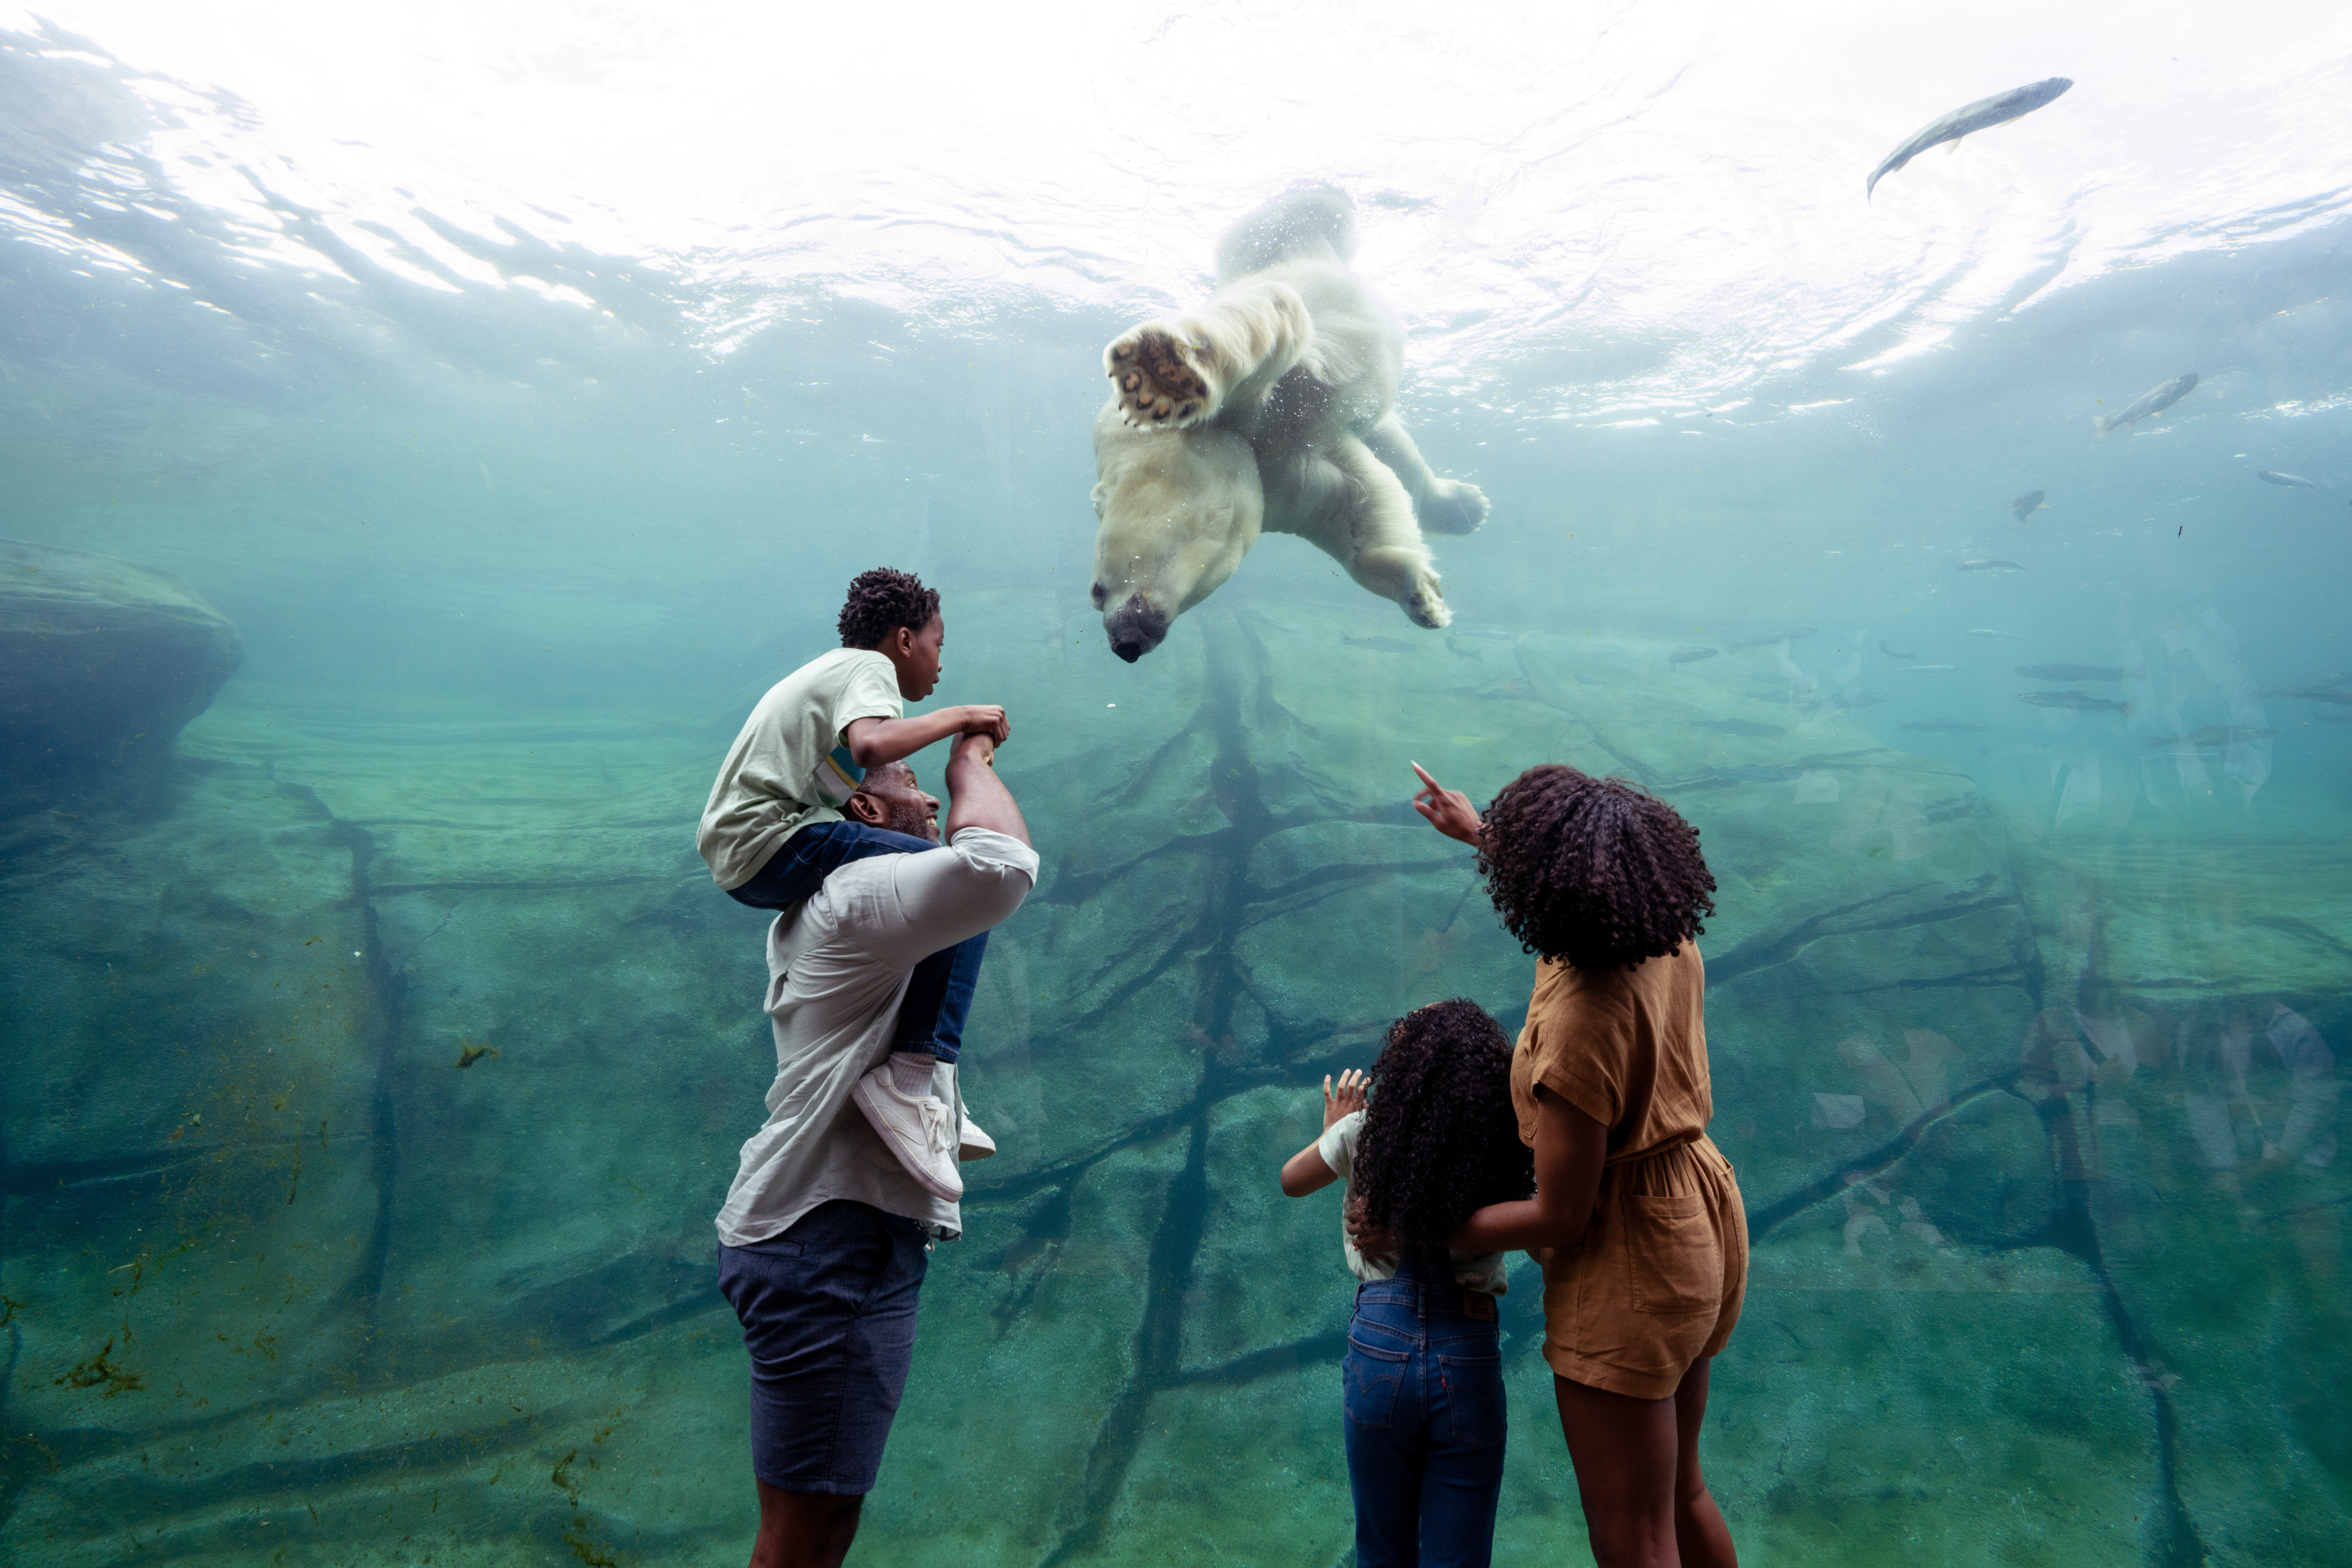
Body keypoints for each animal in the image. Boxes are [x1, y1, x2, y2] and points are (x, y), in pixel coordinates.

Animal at [1087, 187, 1488, 662]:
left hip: (1281, 246)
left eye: (1097, 590)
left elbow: (1267, 316)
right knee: (1392, 444)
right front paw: (1423, 597)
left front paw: (1160, 368)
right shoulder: (1278, 482)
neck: (1243, 443)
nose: (1124, 646)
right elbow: (1355, 506)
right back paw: (1465, 507)